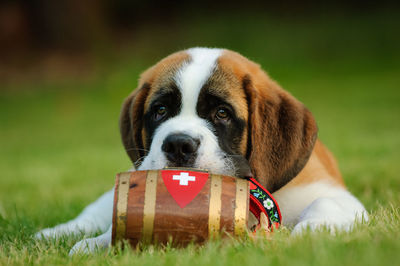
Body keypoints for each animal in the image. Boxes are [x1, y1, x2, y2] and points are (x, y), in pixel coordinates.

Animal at [36, 47, 368, 254]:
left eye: (222, 113)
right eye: (160, 110)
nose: (178, 144)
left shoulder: (328, 191)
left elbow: (326, 202)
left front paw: (314, 229)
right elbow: (118, 220)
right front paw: (98, 243)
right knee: (96, 211)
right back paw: (57, 231)